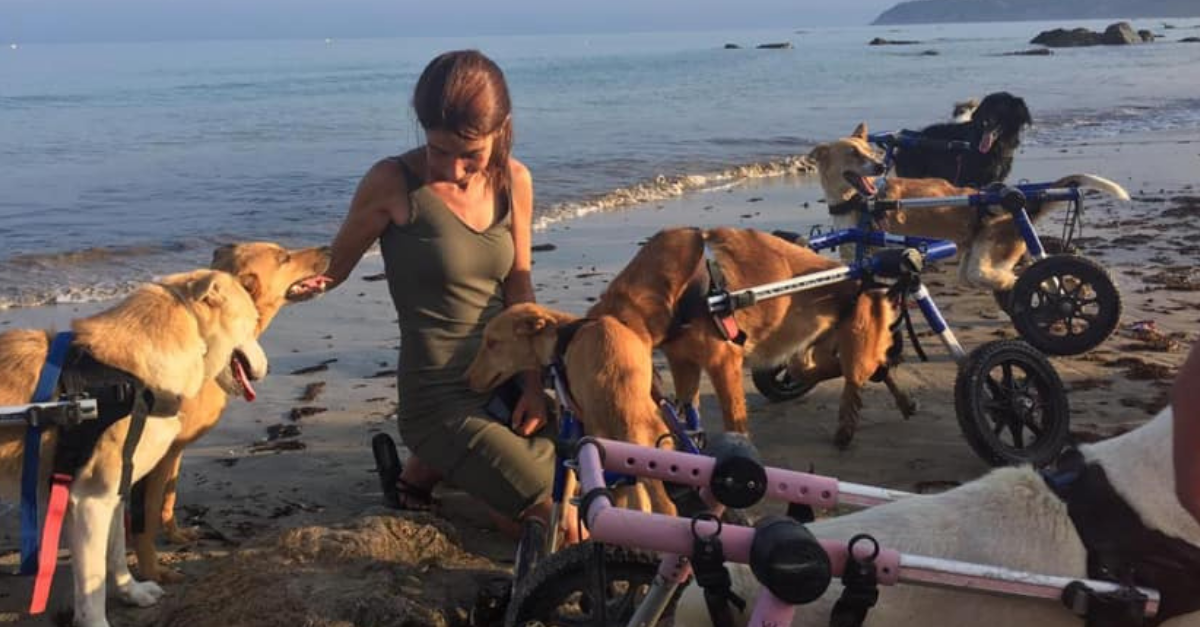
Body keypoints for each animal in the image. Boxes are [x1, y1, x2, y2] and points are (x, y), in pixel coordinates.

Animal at [0, 269, 267, 624]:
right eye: (253, 321)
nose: (266, 367)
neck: (128, 381)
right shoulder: (91, 501)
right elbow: (93, 585)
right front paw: (96, 621)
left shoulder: (112, 492)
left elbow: (114, 555)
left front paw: (132, 592)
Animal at [131, 240, 331, 581]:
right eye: (284, 258)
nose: (329, 248)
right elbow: (144, 517)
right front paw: (150, 570)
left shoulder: (173, 450)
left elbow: (167, 499)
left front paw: (175, 536)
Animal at [585, 227, 902, 446]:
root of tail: (863, 270)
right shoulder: (684, 363)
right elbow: (689, 409)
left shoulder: (723, 365)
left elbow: (733, 418)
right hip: (808, 354)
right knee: (841, 369)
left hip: (857, 350)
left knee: (861, 375)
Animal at [811, 123, 1128, 291]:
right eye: (853, 153)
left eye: (870, 152)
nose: (879, 166)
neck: (860, 200)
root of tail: (1017, 200)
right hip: (976, 259)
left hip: (987, 258)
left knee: (1021, 277)